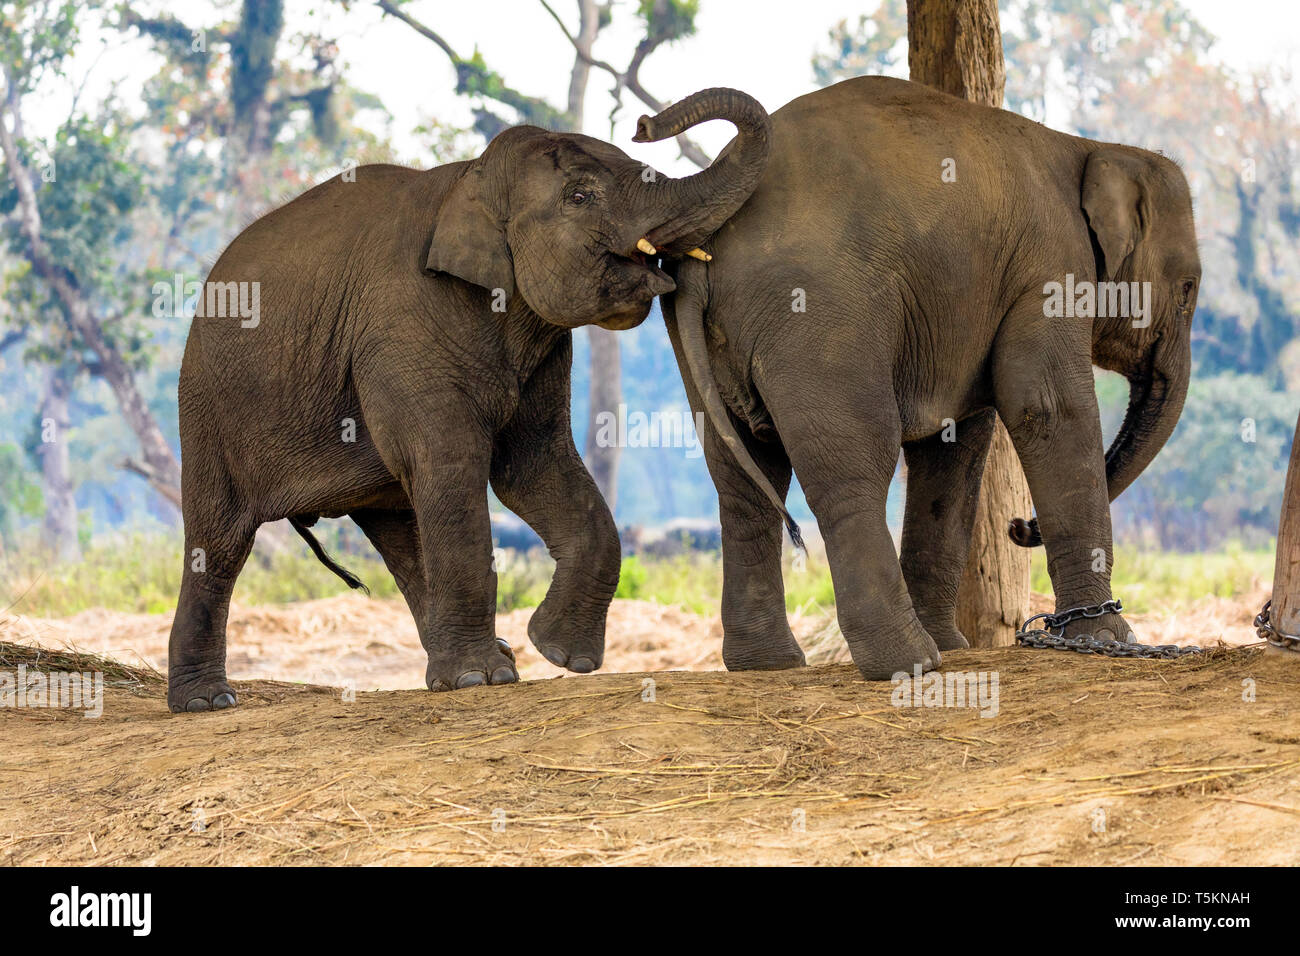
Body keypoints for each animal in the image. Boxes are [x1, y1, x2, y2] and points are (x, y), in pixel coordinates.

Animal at [165, 89, 769, 712]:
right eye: (579, 196)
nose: (645, 122)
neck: (469, 179)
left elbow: (532, 465)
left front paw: (556, 655)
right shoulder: (401, 327)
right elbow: (453, 464)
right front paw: (487, 679)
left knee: (399, 530)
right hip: (208, 409)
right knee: (219, 540)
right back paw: (206, 703)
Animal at [660, 78, 1196, 686]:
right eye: (1188, 289)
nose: (1018, 525)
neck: (1092, 147)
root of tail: (708, 240)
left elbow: (954, 444)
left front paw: (960, 643)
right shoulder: (1050, 268)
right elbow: (1047, 407)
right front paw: (1108, 640)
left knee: (742, 472)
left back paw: (769, 664)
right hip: (818, 317)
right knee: (854, 465)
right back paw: (910, 662)